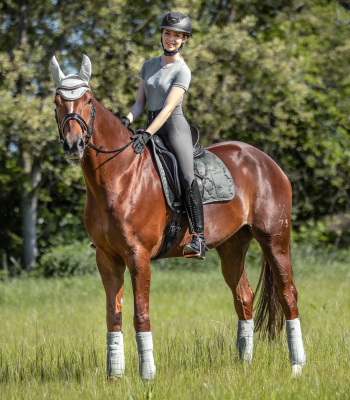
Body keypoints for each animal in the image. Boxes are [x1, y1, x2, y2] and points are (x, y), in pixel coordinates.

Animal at [50, 54, 304, 380]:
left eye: (88, 101)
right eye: (57, 101)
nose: (74, 145)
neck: (119, 174)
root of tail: (266, 160)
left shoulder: (138, 256)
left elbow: (140, 315)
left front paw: (147, 376)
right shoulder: (106, 258)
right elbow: (113, 317)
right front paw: (114, 376)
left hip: (274, 239)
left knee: (288, 294)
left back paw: (297, 366)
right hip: (232, 246)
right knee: (243, 297)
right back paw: (243, 364)